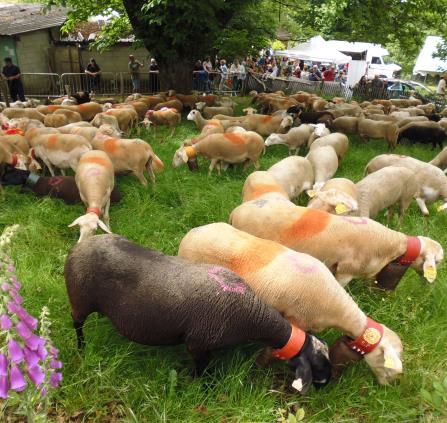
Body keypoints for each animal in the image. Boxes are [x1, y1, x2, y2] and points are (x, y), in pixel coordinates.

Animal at [64, 235, 332, 394]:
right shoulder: (197, 342)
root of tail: (79, 245)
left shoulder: (206, 343)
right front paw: (197, 384)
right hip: (79, 297)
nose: (328, 383)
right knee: (76, 323)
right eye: (318, 365)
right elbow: (201, 368)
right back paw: (81, 347)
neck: (250, 314)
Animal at [178, 222, 406, 388]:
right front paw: (259, 370)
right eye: (388, 366)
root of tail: (193, 232)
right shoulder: (295, 320)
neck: (336, 306)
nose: (387, 386)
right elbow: (272, 352)